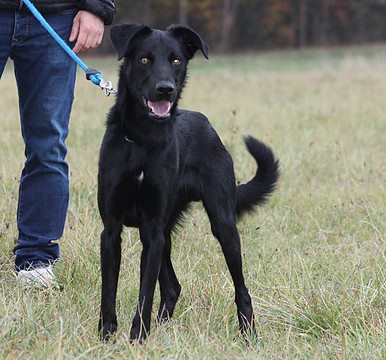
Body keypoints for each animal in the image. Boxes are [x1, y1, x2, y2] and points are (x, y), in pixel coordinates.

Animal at [96, 23, 278, 342]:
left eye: (176, 60)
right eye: (144, 59)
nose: (165, 89)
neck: (143, 139)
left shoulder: (152, 230)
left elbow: (145, 293)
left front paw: (137, 339)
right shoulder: (113, 229)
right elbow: (110, 292)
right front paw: (107, 337)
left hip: (222, 225)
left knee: (241, 289)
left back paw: (248, 334)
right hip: (166, 234)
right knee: (172, 288)